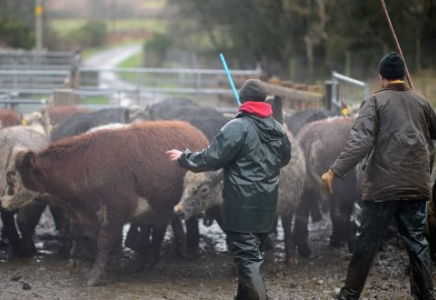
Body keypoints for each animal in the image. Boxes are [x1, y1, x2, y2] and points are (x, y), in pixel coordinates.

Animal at [1, 120, 209, 286]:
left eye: (12, 177)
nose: (3, 202)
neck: (86, 165)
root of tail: (190, 128)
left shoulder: (116, 209)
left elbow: (104, 241)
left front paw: (94, 274)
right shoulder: (81, 212)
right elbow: (78, 234)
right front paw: (76, 261)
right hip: (161, 206)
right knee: (161, 228)